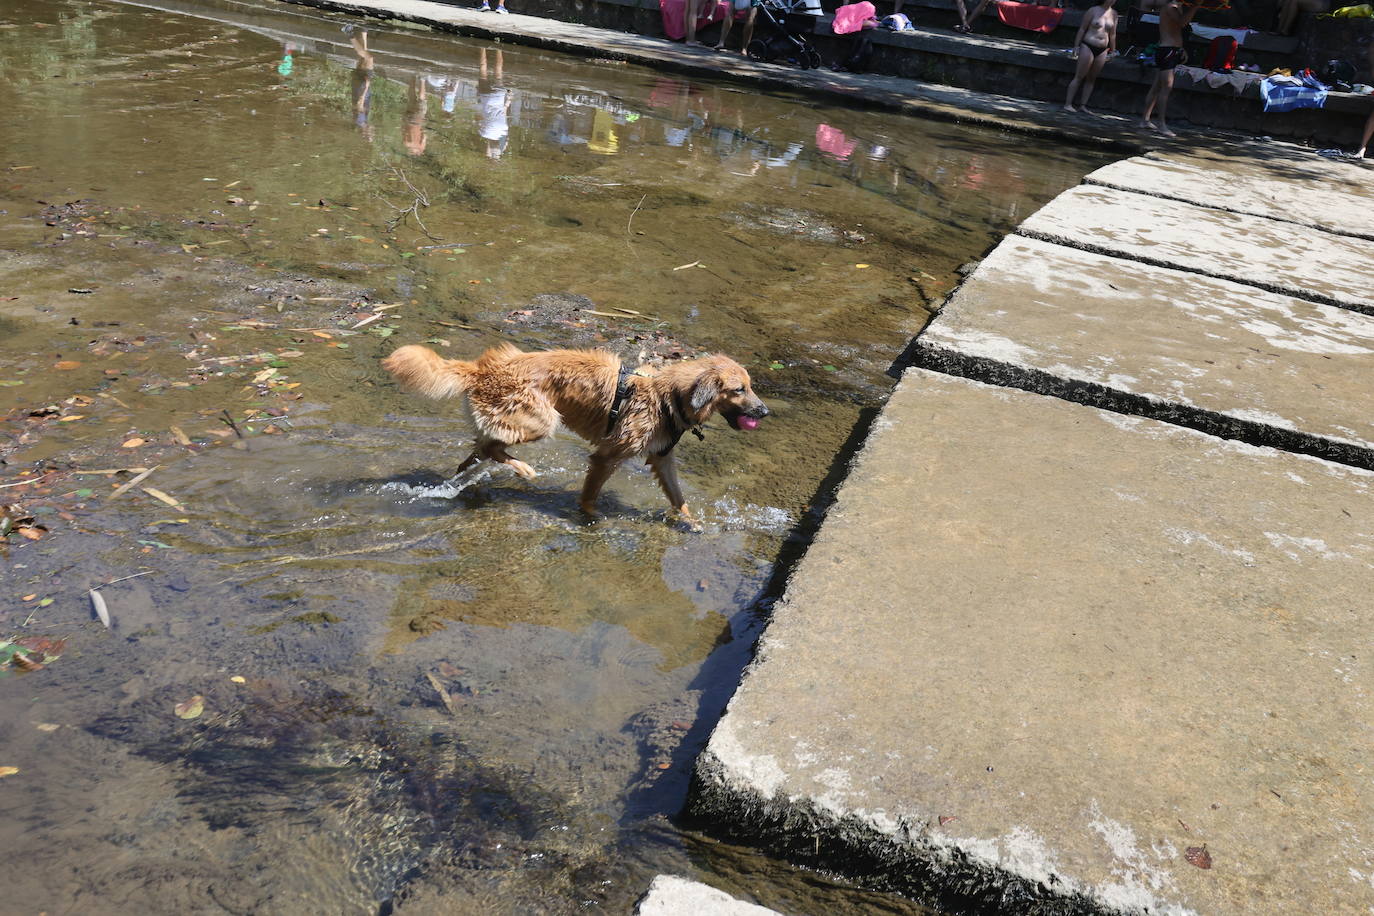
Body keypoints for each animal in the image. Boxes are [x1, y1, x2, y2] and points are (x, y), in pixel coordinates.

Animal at [381, 341, 769, 521]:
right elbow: (590, 496)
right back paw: (523, 469)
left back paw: (468, 474)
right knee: (491, 448)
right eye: (739, 390)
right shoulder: (606, 457)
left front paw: (692, 525)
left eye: (750, 386)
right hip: (543, 420)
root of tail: (481, 368)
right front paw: (590, 517)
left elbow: (678, 498)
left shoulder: (662, 460)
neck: (667, 396)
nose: (764, 412)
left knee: (478, 448)